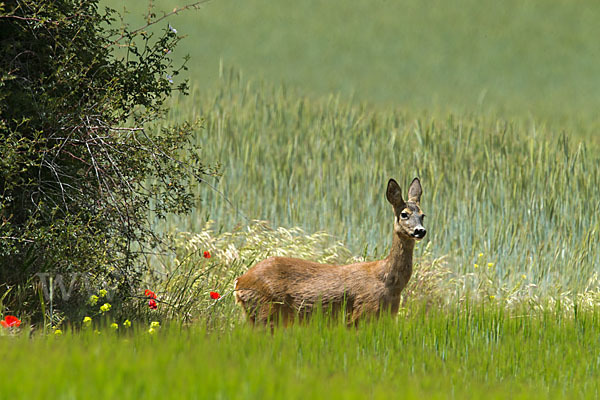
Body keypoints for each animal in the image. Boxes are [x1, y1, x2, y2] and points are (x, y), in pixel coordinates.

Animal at [232, 178, 424, 324]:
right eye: (404, 214)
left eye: (423, 215)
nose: (420, 231)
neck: (388, 282)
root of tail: (240, 282)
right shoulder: (363, 312)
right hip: (265, 310)